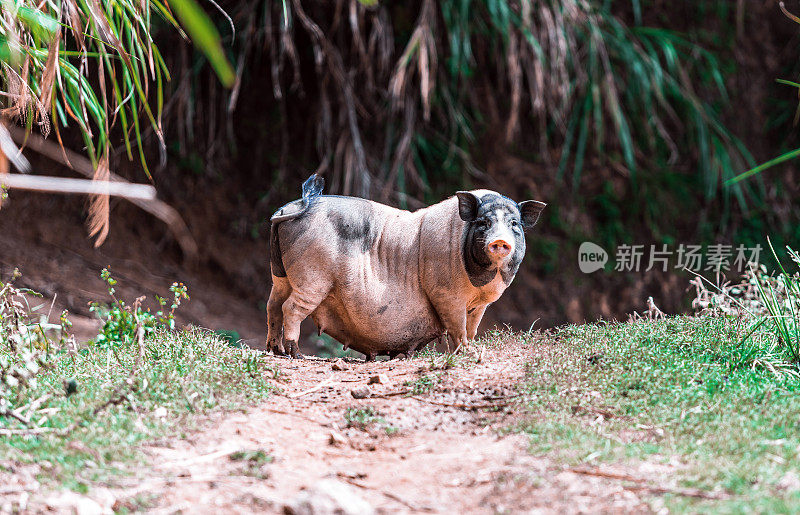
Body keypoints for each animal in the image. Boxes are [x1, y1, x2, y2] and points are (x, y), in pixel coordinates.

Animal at [266, 173, 548, 358]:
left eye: (514, 224)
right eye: (483, 222)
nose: (500, 240)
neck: (478, 288)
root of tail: (296, 205)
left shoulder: (480, 304)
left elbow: (472, 326)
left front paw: (474, 348)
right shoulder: (446, 293)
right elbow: (457, 326)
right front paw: (466, 353)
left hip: (280, 274)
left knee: (273, 305)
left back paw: (275, 350)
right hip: (311, 277)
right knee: (290, 307)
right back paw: (296, 354)